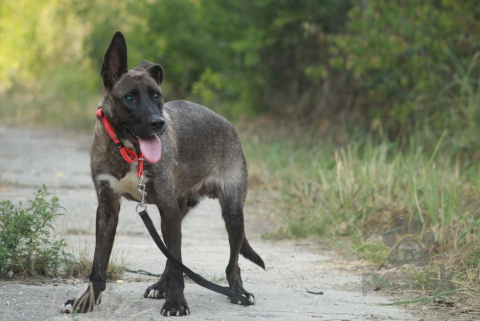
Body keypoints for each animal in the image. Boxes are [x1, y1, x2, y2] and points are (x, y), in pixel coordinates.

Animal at [61, 32, 264, 316]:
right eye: (129, 98)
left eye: (157, 95)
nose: (159, 124)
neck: (129, 153)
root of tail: (229, 125)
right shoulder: (108, 208)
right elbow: (99, 263)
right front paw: (87, 300)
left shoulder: (167, 207)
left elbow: (178, 263)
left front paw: (177, 302)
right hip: (177, 211)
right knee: (172, 254)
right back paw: (160, 285)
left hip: (232, 212)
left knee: (231, 263)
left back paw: (239, 291)